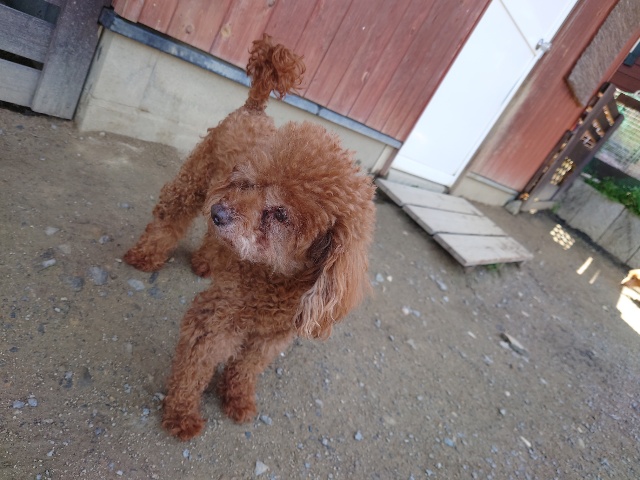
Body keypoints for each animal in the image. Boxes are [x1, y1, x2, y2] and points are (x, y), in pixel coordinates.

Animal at [123, 34, 376, 440]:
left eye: (281, 213)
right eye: (250, 183)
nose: (219, 213)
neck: (276, 279)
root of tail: (254, 108)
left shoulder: (271, 337)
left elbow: (246, 367)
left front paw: (238, 399)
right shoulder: (217, 320)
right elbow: (194, 367)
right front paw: (182, 414)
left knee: (210, 239)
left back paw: (206, 261)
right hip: (195, 179)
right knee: (169, 216)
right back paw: (146, 255)